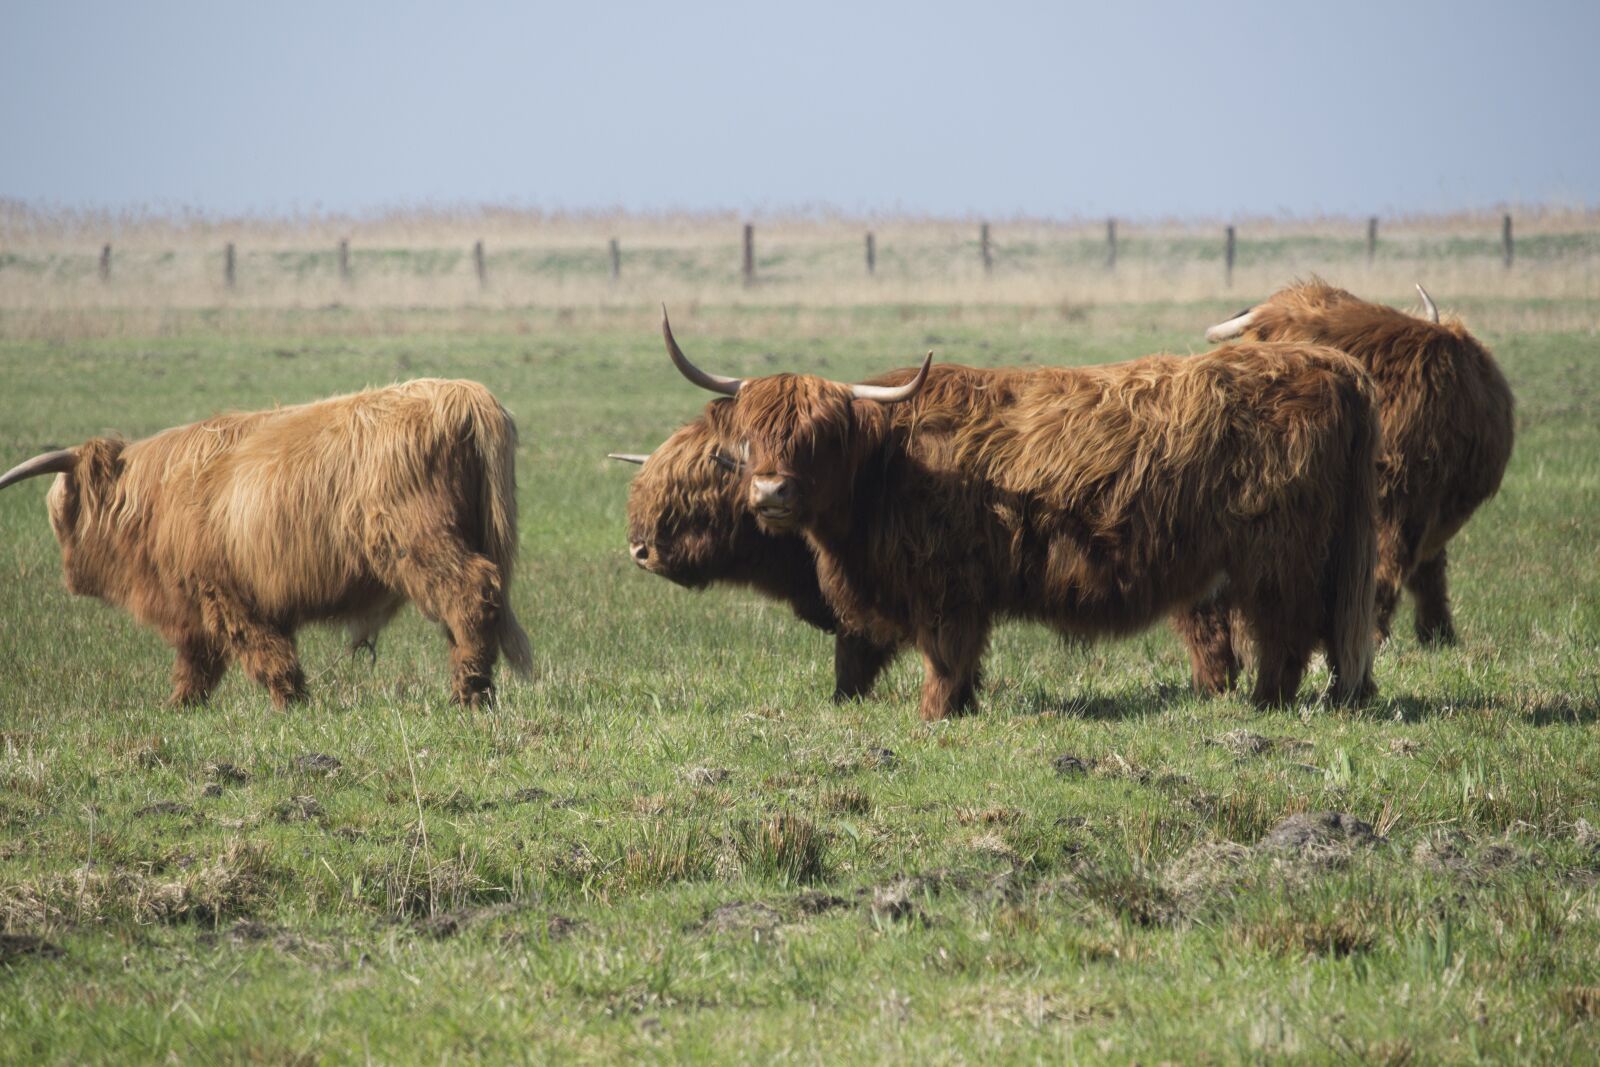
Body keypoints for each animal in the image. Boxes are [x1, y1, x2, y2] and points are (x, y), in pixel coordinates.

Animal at [0, 378, 533, 708]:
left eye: (61, 516)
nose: (70, 578)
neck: (153, 500)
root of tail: (462, 395)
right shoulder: (200, 607)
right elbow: (197, 664)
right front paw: (180, 707)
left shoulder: (223, 593)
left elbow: (261, 652)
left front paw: (292, 702)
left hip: (419, 542)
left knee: (470, 593)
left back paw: (468, 693)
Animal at [660, 310, 1382, 721]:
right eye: (752, 435)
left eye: (819, 437)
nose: (771, 493)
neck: (886, 467)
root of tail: (1328, 363)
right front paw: (961, 706)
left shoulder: (946, 585)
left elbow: (945, 655)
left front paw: (935, 714)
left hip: (1276, 552)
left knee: (1286, 631)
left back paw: (1264, 706)